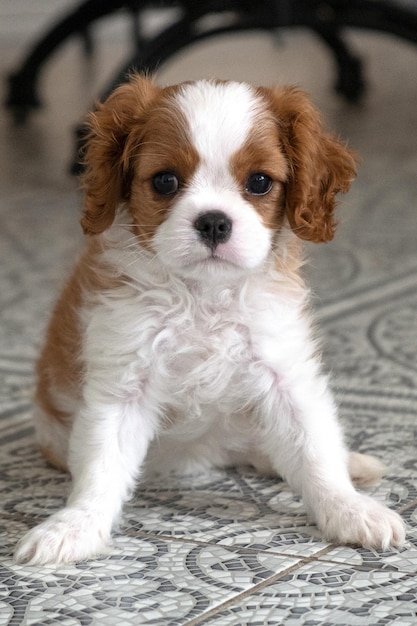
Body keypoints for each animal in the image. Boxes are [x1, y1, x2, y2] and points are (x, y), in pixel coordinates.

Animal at [15, 75, 404, 564]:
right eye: (165, 181)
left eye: (259, 182)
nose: (214, 222)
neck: (203, 296)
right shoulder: (122, 382)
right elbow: (101, 464)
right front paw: (75, 525)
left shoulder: (284, 373)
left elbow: (314, 450)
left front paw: (348, 508)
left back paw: (352, 464)